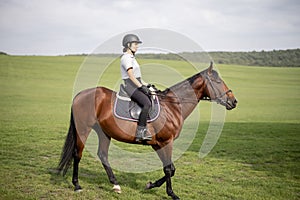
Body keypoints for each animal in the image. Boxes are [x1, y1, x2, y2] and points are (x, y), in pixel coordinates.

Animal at [57, 61, 238, 199]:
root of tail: (80, 94)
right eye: (217, 81)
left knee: (102, 155)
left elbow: (171, 169)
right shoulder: (166, 141)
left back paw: (115, 185)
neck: (173, 106)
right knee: (77, 154)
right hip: (83, 129)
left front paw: (151, 185)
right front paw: (171, 193)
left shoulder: (158, 143)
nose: (233, 101)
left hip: (104, 133)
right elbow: (168, 169)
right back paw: (77, 185)